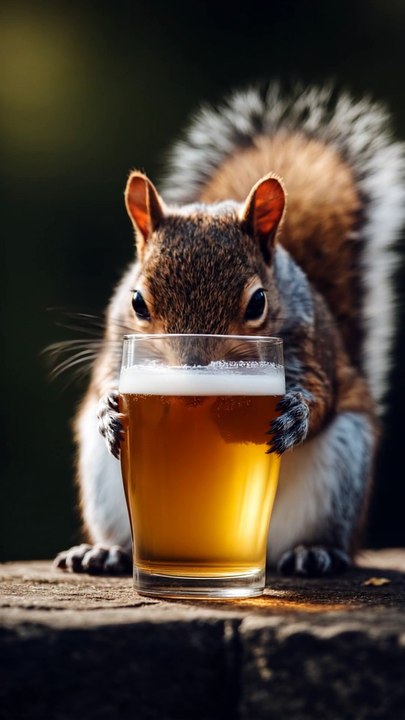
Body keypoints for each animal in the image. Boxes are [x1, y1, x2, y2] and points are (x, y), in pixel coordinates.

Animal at [55, 83, 405, 577]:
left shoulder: (311, 345)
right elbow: (107, 376)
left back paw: (313, 551)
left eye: (258, 302)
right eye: (138, 302)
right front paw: (107, 411)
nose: (192, 377)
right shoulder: (114, 337)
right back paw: (106, 551)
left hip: (342, 468)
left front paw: (296, 414)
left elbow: (319, 392)